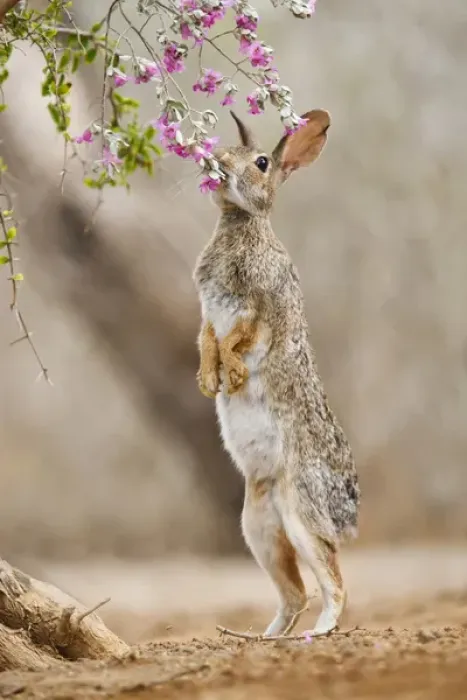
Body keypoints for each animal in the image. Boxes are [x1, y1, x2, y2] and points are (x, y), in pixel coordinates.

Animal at [193, 109, 360, 638]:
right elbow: (207, 338)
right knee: (295, 594)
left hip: (300, 510)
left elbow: (237, 338)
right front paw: (208, 381)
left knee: (334, 582)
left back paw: (317, 633)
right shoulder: (208, 312)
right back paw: (260, 639)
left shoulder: (258, 306)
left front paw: (232, 376)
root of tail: (348, 513)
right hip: (257, 525)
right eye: (225, 149)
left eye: (262, 162)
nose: (217, 164)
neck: (241, 222)